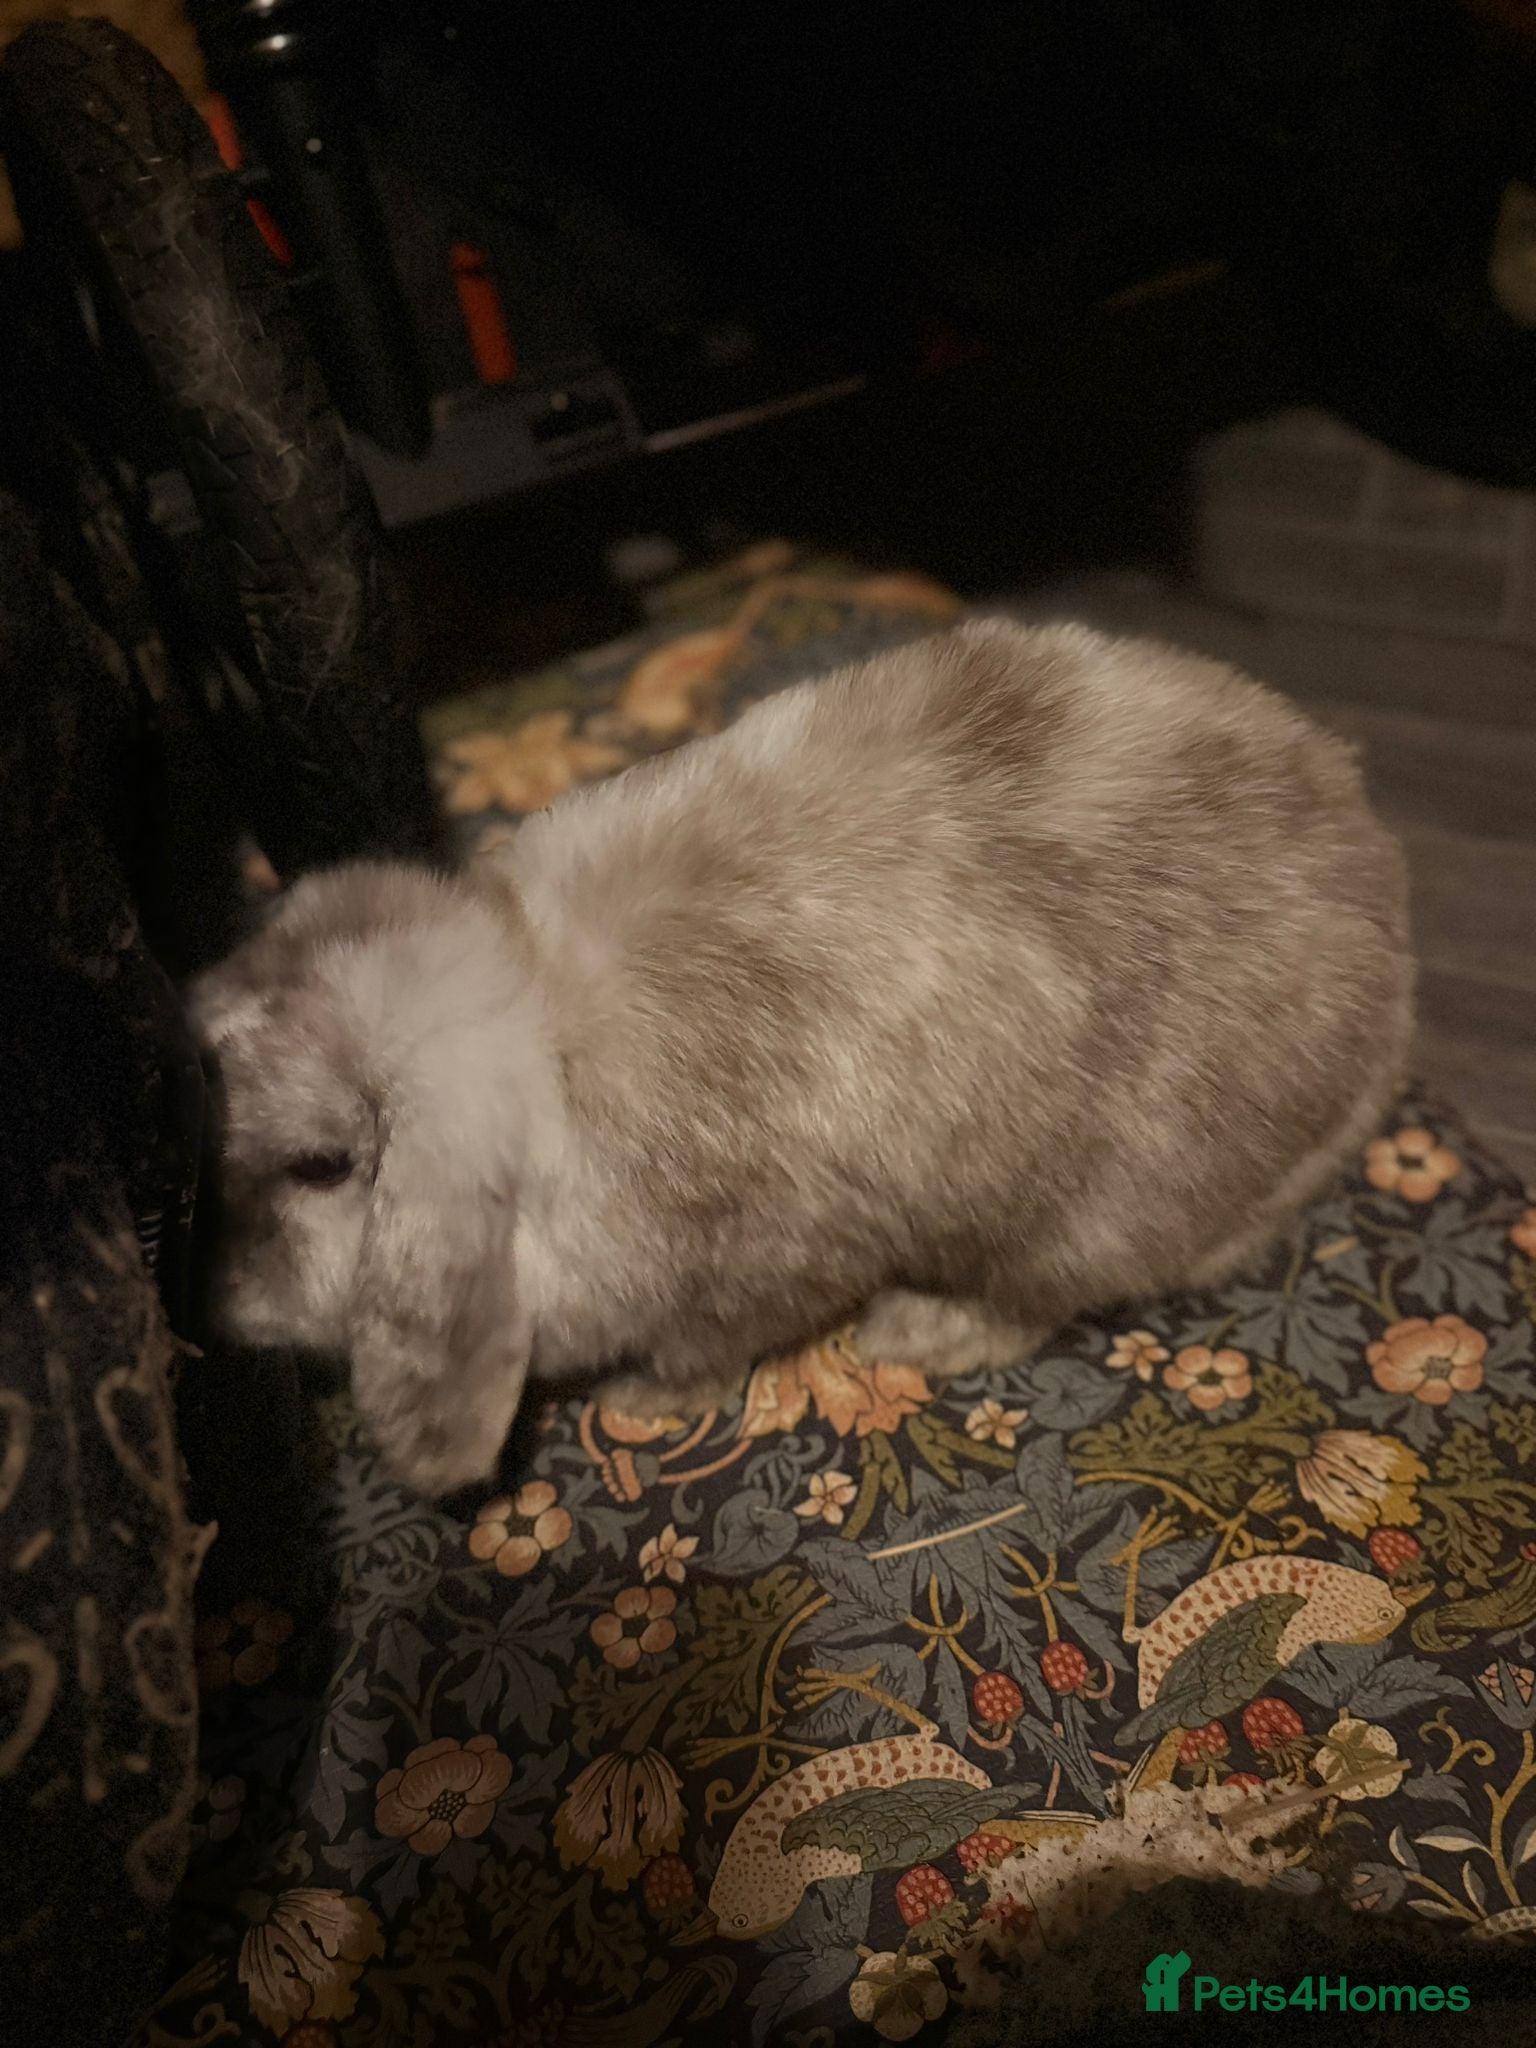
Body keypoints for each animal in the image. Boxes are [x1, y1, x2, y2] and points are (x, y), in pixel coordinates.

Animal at [189, 617, 1414, 1497]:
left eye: (322, 1165)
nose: (214, 1309)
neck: (544, 1042)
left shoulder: (764, 1257)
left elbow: (713, 1345)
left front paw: (641, 1401)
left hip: (1080, 1207)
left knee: (1045, 1291)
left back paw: (920, 1325)